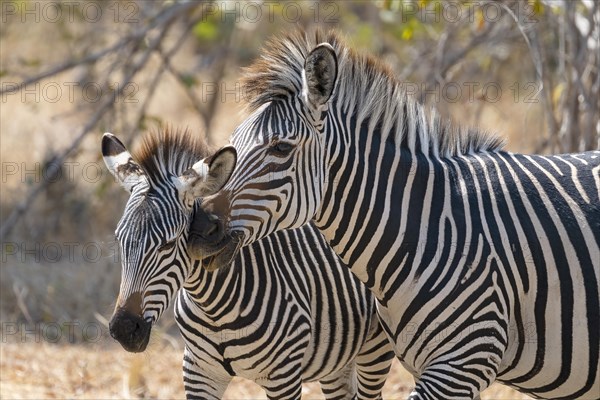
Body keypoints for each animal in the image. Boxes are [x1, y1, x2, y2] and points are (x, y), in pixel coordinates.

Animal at [102, 129, 394, 400]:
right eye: (119, 240)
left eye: (168, 244)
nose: (123, 330)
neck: (212, 306)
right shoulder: (198, 371)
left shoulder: (284, 376)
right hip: (338, 358)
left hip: (375, 348)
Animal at [191, 28, 600, 400]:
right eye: (231, 145)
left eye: (280, 148)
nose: (197, 228)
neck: (430, 228)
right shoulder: (441, 365)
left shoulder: (464, 359)